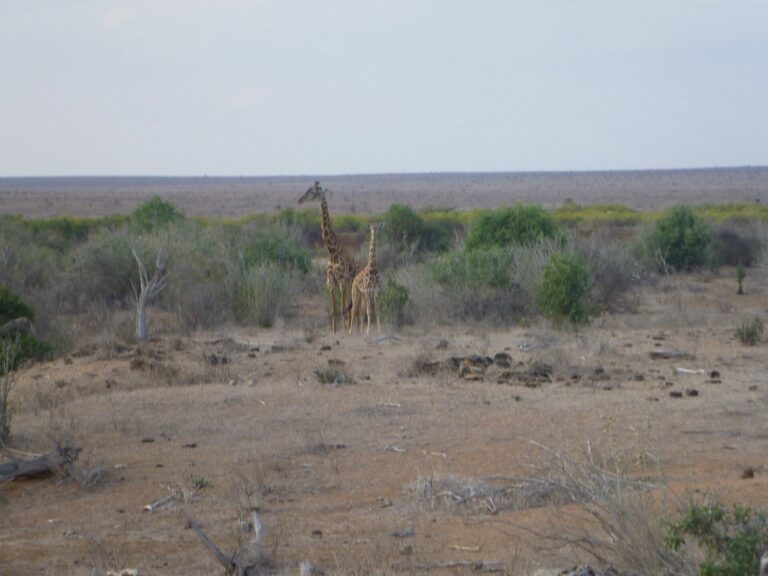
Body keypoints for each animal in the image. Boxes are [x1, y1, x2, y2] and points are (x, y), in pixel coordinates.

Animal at [296, 180, 364, 332]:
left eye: (314, 191)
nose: (299, 200)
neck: (332, 252)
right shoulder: (331, 282)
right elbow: (334, 310)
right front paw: (334, 332)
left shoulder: (342, 281)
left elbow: (342, 309)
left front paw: (344, 332)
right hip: (349, 287)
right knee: (351, 309)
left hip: (353, 286)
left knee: (355, 310)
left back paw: (355, 330)